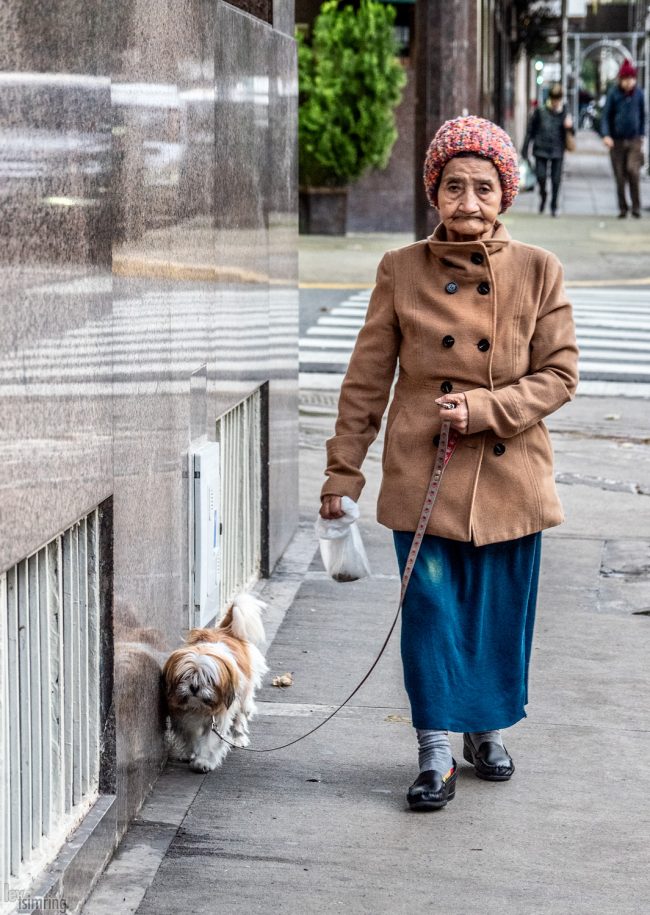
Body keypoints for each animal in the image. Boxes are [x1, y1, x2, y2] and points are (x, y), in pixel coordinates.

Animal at [163, 592, 268, 772]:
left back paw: (238, 738)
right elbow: (189, 735)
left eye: (208, 679)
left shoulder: (218, 717)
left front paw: (203, 761)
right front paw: (190, 753)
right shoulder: (183, 716)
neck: (198, 707)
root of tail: (227, 630)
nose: (194, 687)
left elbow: (210, 741)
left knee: (240, 716)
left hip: (243, 697)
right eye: (186, 676)